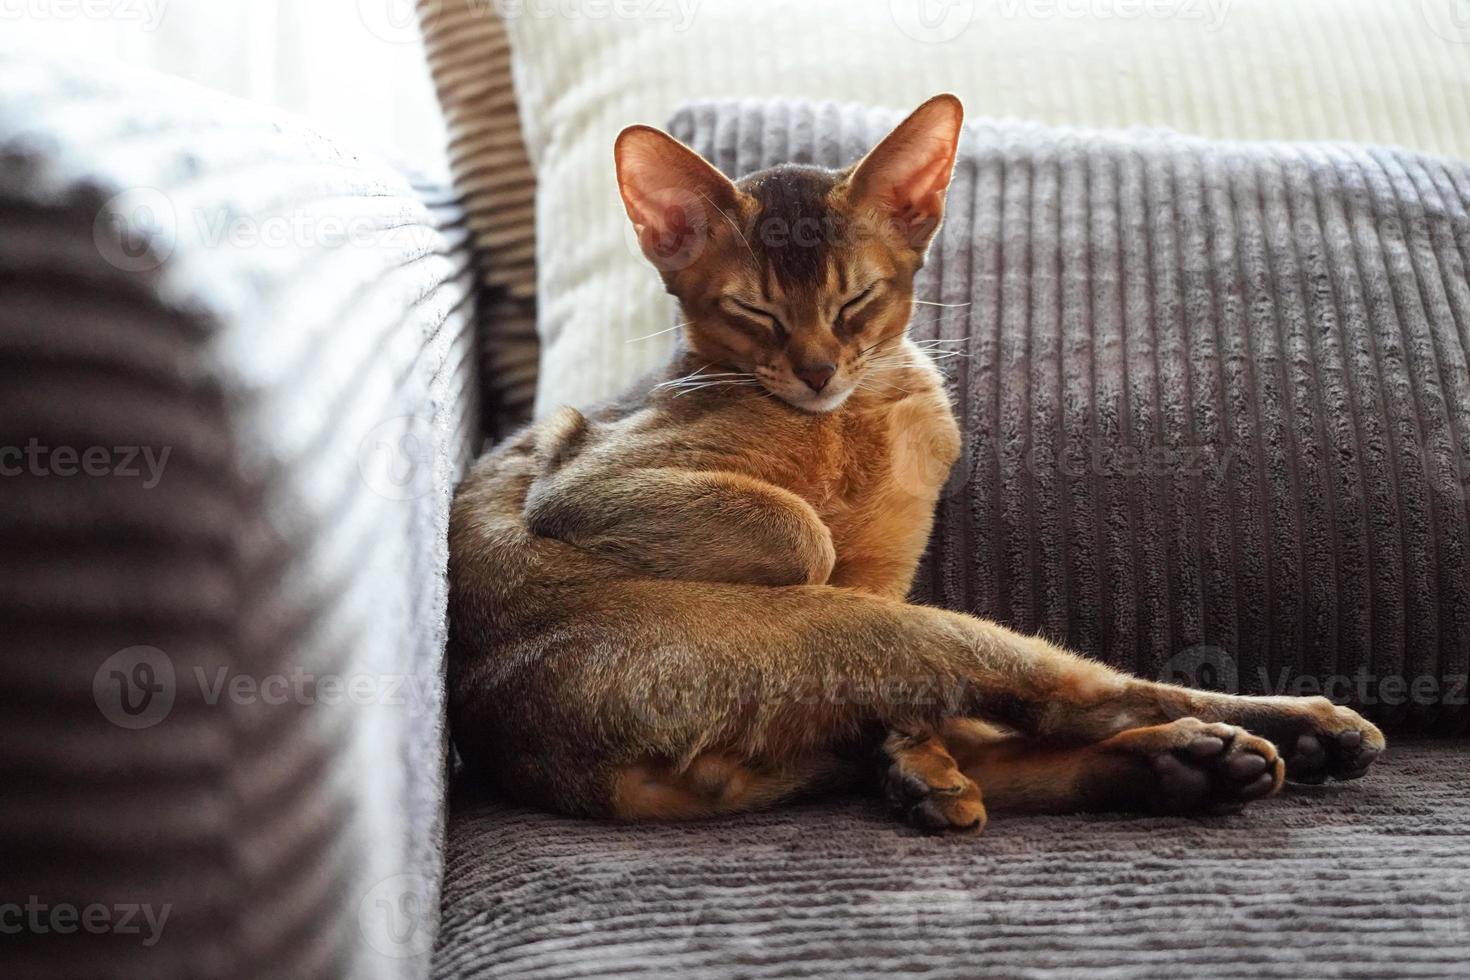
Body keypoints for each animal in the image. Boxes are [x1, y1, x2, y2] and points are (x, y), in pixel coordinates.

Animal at [443, 91, 1375, 834]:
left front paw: (915, 771)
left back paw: (1224, 759)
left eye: (855, 298)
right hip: (882, 633)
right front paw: (916, 769)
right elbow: (806, 532)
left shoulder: (887, 576)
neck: (862, 417)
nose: (817, 370)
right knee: (1070, 701)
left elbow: (917, 724)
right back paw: (1246, 747)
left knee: (1000, 726)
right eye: (753, 310)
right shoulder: (586, 473)